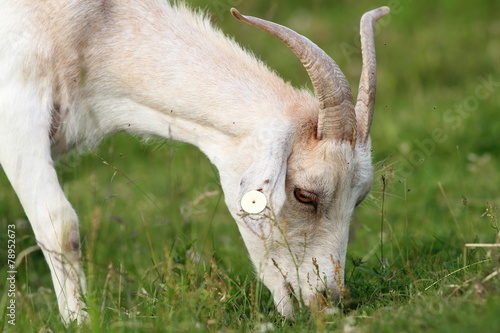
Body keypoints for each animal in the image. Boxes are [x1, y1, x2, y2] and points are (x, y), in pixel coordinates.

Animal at [0, 0, 390, 322]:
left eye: (358, 200)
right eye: (304, 195)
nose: (329, 300)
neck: (95, 26)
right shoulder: (17, 111)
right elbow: (61, 226)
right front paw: (78, 321)